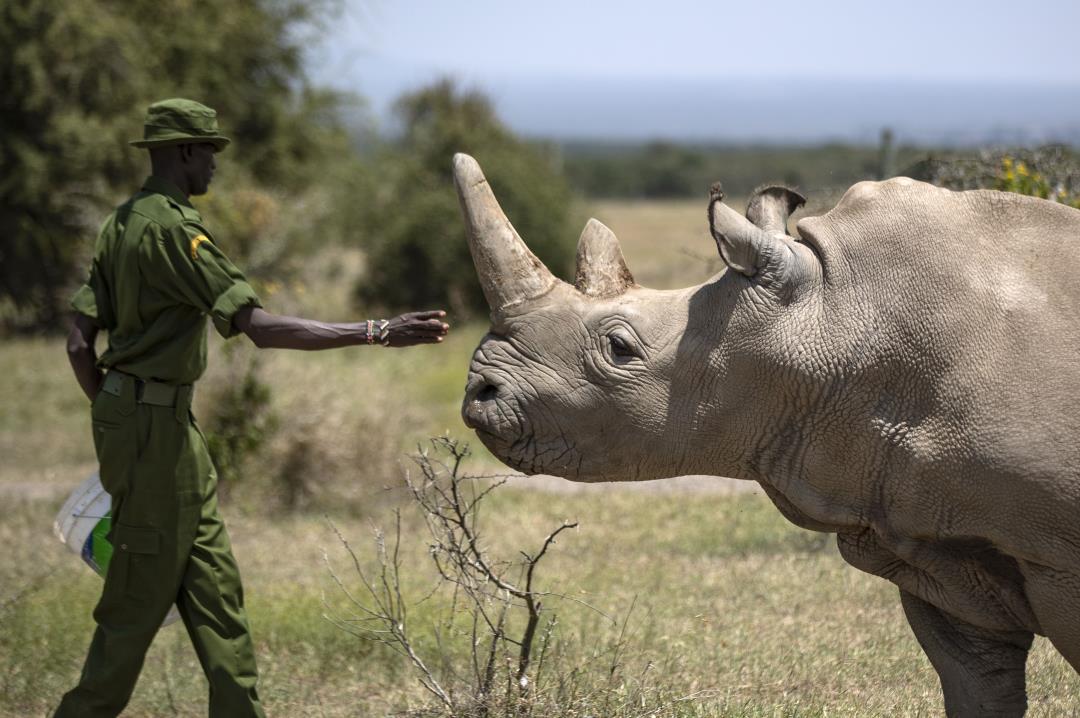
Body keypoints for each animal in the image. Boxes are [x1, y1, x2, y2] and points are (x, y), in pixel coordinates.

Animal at [453, 153, 1080, 716]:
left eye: (619, 348)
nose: (480, 390)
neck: (831, 316)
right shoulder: (931, 539)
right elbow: (977, 687)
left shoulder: (1056, 555)